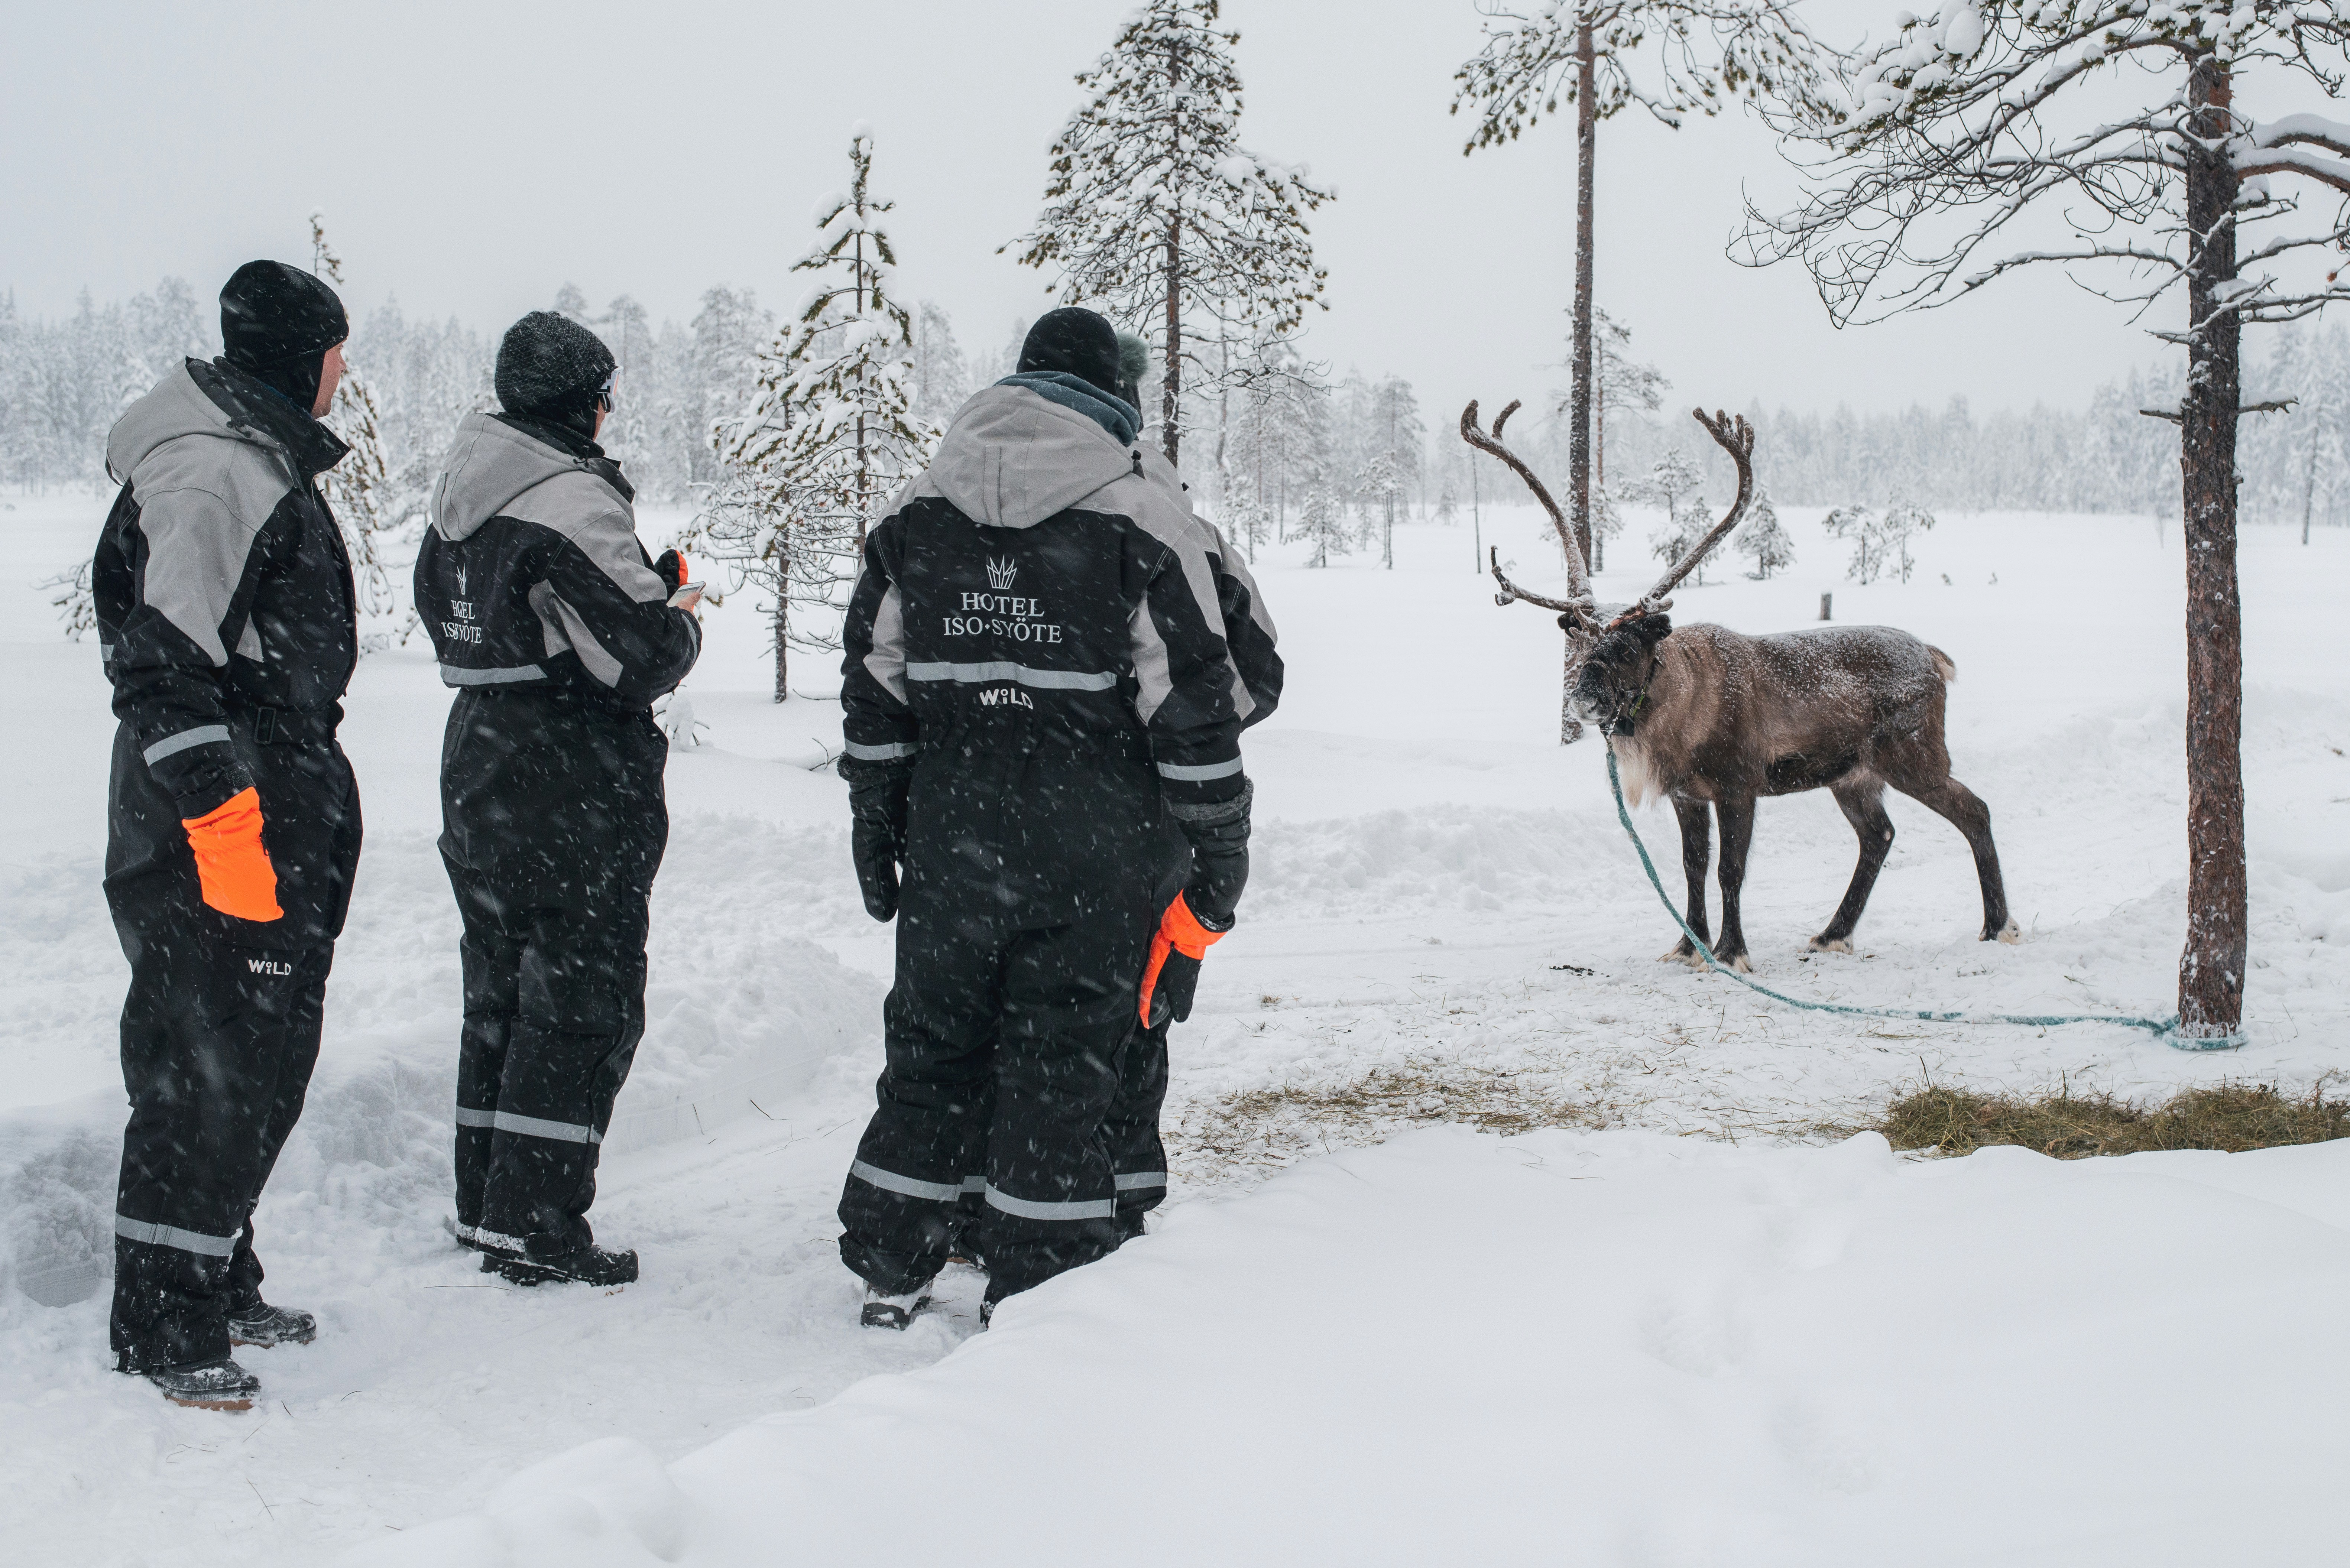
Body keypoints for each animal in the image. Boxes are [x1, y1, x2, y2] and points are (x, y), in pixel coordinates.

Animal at [1463, 399, 2017, 972]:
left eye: (1630, 645)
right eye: (1579, 641)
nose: (1584, 699)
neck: (1680, 719)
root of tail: (1935, 657)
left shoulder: (1739, 784)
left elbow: (1730, 870)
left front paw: (1731, 952)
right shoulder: (1687, 794)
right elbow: (1692, 866)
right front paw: (1689, 946)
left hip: (1912, 755)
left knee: (1974, 810)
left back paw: (1997, 925)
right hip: (1852, 774)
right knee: (1879, 835)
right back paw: (1832, 934)